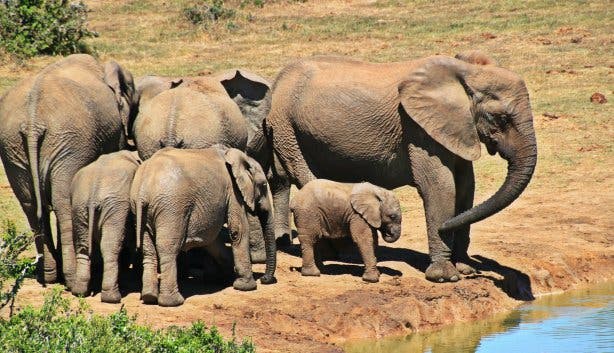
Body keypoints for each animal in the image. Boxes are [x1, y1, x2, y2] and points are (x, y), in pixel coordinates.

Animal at [0, 54, 138, 286]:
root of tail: (32, 122)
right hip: (69, 143)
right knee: (63, 203)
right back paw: (71, 279)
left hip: (14, 147)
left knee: (31, 205)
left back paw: (48, 275)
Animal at [70, 150, 141, 302]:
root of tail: (93, 194)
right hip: (115, 207)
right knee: (110, 246)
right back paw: (112, 297)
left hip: (78, 206)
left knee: (83, 247)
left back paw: (79, 292)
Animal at [131, 146, 278, 306]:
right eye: (264, 185)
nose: (264, 279)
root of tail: (143, 189)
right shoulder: (233, 191)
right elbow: (238, 230)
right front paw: (246, 286)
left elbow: (211, 238)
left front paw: (225, 278)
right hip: (171, 208)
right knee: (167, 249)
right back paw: (173, 302)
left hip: (142, 209)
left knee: (148, 250)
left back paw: (149, 297)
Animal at [266, 52, 540, 282]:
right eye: (501, 118)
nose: (445, 226)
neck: (466, 72)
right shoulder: (419, 129)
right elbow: (441, 188)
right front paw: (445, 277)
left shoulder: (458, 128)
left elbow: (465, 189)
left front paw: (466, 269)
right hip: (285, 126)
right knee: (305, 175)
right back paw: (333, 252)